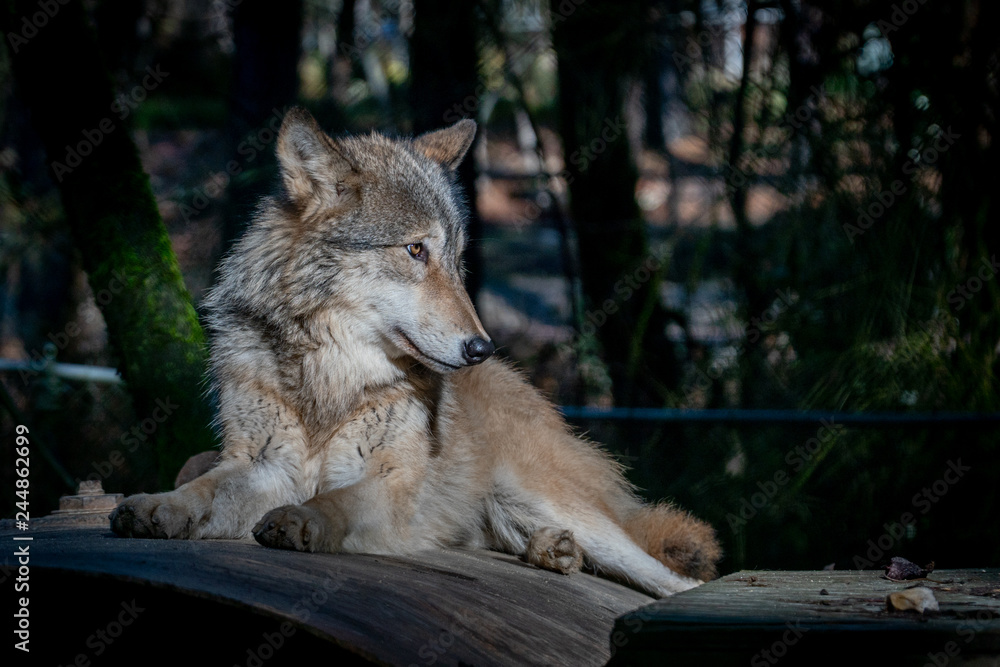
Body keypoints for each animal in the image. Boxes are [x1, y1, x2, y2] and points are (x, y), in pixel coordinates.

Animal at [110, 108, 721, 598]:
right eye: (415, 250)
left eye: (456, 258)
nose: (480, 347)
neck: (331, 374)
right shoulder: (261, 464)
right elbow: (202, 486)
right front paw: (157, 506)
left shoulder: (394, 481)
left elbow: (337, 502)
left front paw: (303, 521)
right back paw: (553, 551)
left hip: (560, 506)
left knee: (675, 580)